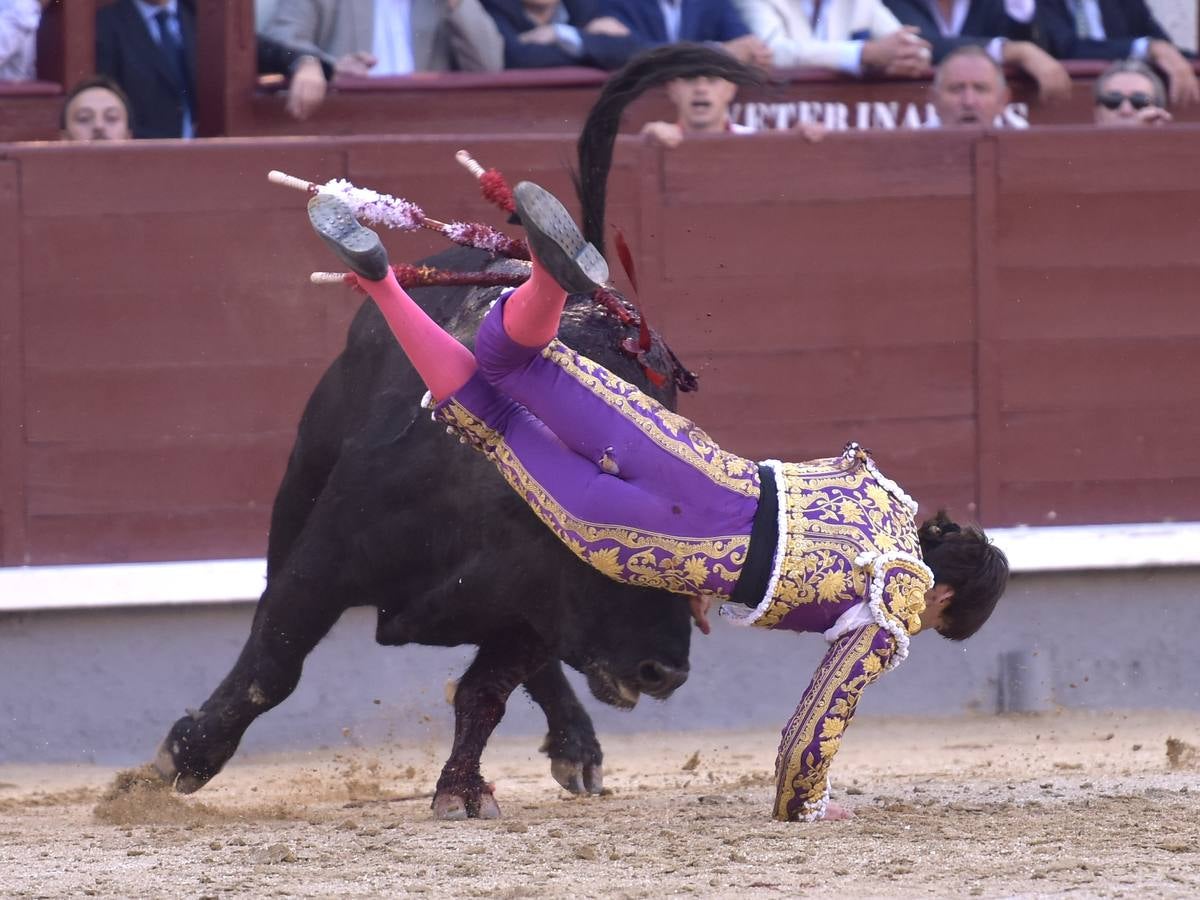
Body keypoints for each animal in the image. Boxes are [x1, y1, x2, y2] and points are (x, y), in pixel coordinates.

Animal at [152, 250, 696, 820]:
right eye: (610, 558)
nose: (667, 672)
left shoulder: (537, 611)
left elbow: (485, 692)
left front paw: (461, 789)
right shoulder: (321, 568)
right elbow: (271, 669)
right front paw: (184, 756)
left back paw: (577, 746)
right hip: (300, 479)